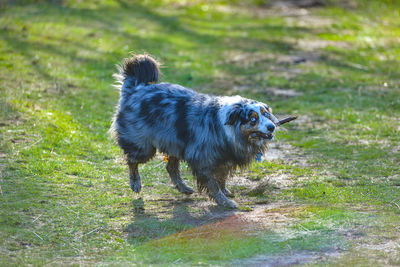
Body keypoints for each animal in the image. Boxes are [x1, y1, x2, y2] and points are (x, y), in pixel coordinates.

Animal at [109, 54, 278, 209]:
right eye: (253, 119)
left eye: (266, 114)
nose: (272, 127)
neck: (227, 129)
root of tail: (136, 89)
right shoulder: (203, 159)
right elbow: (213, 184)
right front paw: (224, 201)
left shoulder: (224, 159)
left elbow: (221, 179)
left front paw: (225, 192)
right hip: (143, 146)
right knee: (131, 160)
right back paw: (135, 183)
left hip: (174, 142)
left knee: (170, 167)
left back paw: (183, 188)